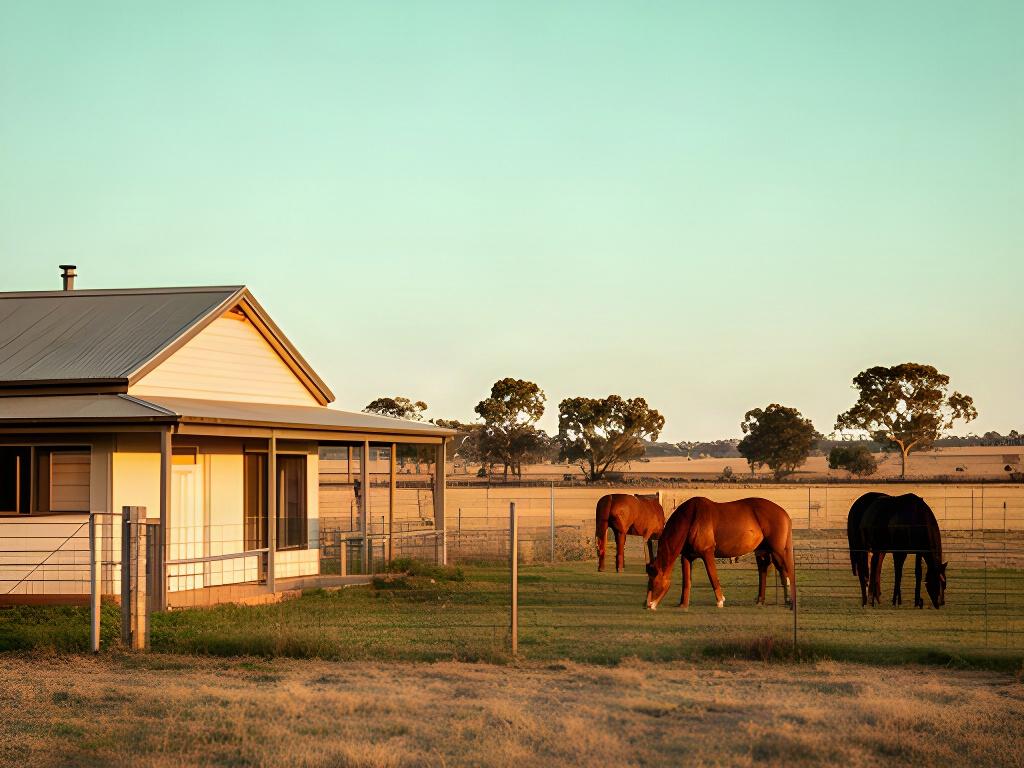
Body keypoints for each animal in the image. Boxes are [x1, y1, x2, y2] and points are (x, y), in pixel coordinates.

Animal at [644, 497, 795, 611]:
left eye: (654, 580)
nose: (648, 605)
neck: (692, 518)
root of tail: (784, 513)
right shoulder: (686, 556)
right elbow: (686, 581)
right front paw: (683, 604)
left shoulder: (707, 553)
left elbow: (712, 576)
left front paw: (720, 601)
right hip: (763, 551)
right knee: (767, 570)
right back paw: (761, 601)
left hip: (778, 550)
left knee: (785, 570)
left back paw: (790, 601)